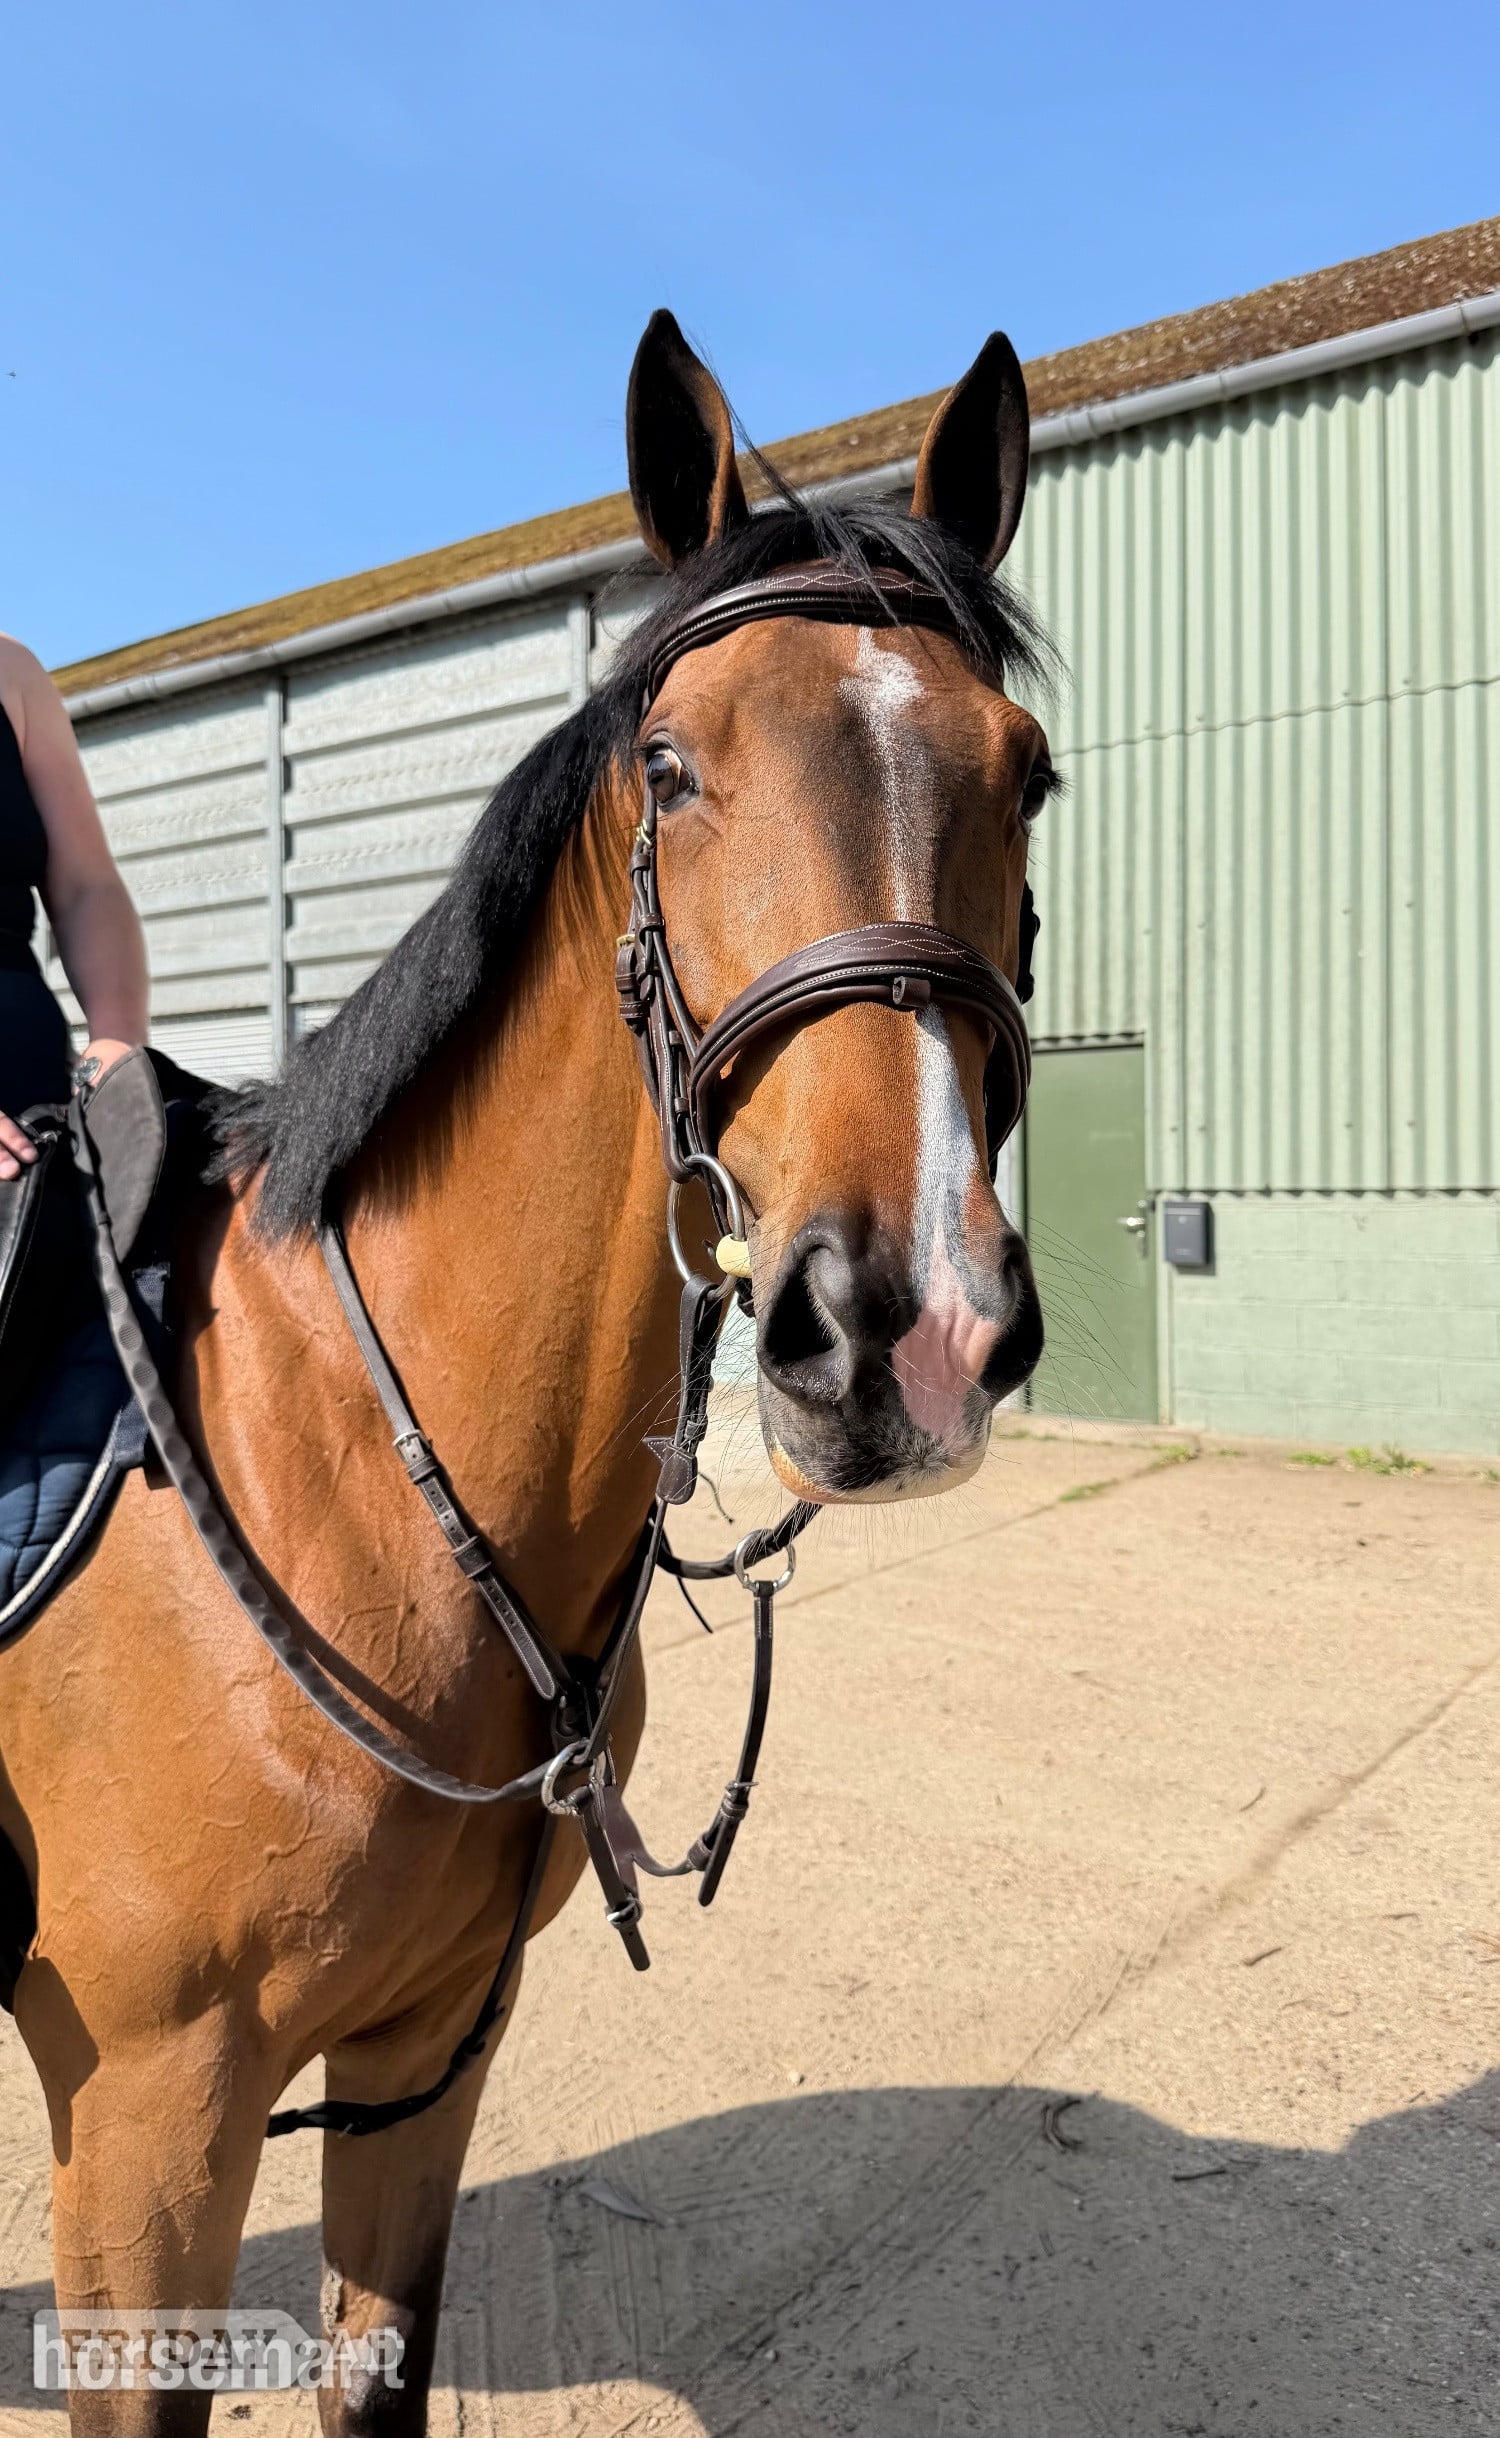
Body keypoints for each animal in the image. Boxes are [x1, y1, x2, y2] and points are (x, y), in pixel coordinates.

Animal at [0, 308, 1056, 2434]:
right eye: (671, 764)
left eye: (1032, 776)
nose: (906, 1324)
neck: (349, 1476)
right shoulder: (144, 2125)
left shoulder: (424, 2056)